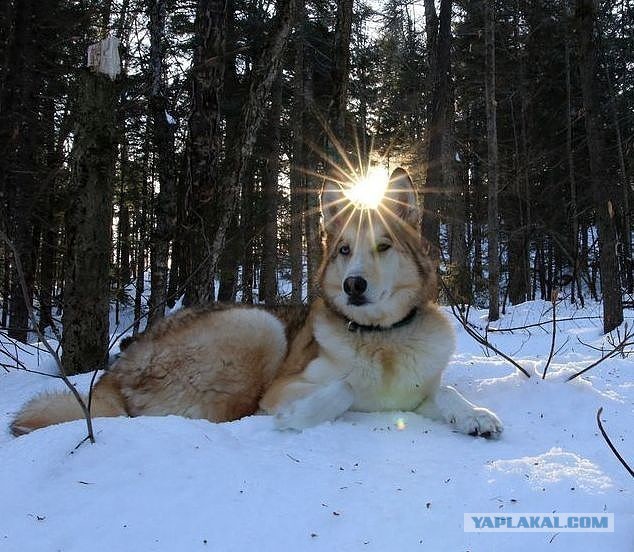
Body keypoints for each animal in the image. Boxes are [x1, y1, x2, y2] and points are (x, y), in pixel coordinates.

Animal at [12, 166, 502, 438]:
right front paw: (298, 414)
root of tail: (118, 372)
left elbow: (446, 391)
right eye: (345, 249)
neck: (381, 338)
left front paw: (475, 415)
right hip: (256, 326)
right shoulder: (288, 383)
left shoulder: (420, 387)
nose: (354, 286)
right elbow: (344, 389)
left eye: (383, 247)